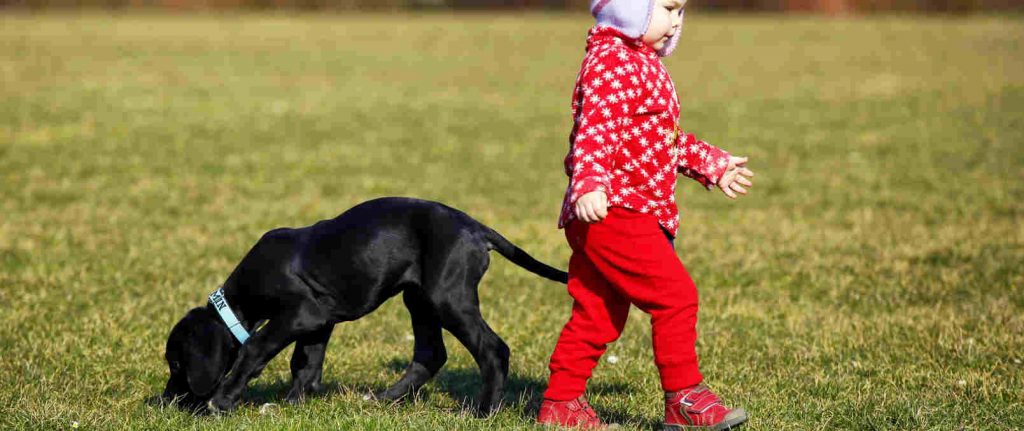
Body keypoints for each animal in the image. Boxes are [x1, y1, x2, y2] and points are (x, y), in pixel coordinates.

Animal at [163, 197, 573, 413]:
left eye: (177, 364)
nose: (168, 401)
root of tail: (474, 227)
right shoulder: (318, 321)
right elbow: (305, 362)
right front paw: (294, 402)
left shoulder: (300, 313)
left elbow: (255, 347)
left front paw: (222, 399)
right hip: (419, 299)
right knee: (430, 354)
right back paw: (384, 398)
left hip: (448, 296)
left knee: (492, 349)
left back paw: (481, 410)